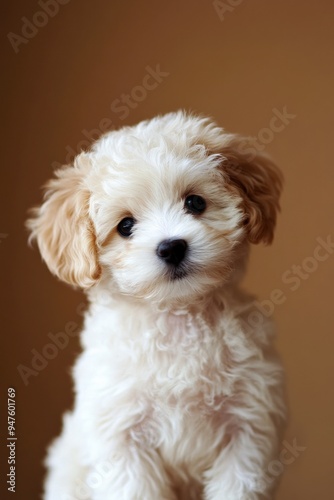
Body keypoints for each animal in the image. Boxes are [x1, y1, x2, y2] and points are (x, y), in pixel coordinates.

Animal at [27, 111, 286, 498]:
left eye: (195, 203)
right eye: (125, 226)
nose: (172, 247)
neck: (177, 315)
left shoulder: (247, 429)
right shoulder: (122, 436)